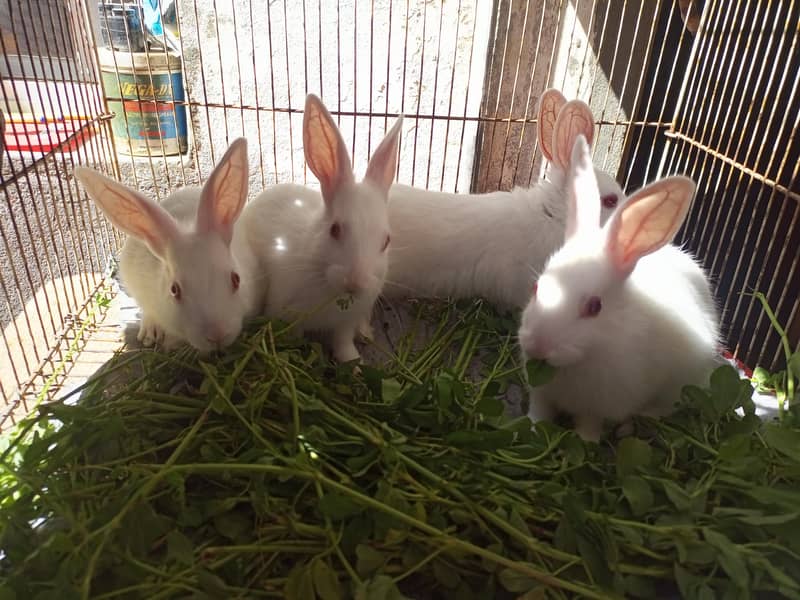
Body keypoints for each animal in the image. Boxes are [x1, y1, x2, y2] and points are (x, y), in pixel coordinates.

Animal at [241, 94, 403, 362]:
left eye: (386, 241)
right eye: (334, 230)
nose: (355, 283)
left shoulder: (345, 323)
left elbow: (344, 344)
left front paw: (354, 364)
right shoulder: (289, 314)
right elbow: (295, 337)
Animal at [518, 134, 722, 441]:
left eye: (595, 307)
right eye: (536, 287)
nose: (538, 347)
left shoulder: (600, 405)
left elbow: (590, 424)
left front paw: (586, 441)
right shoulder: (542, 393)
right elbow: (539, 412)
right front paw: (530, 427)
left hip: (680, 383)